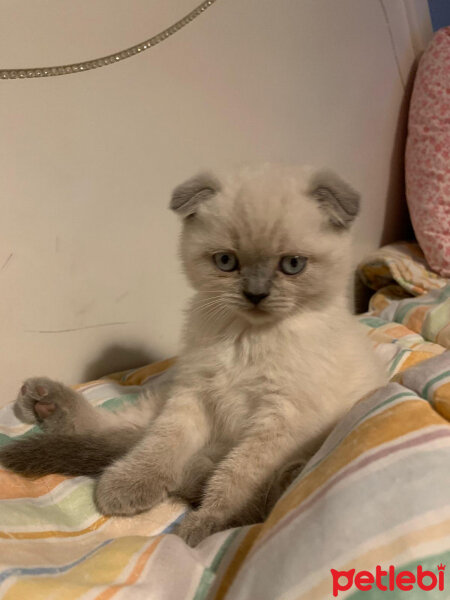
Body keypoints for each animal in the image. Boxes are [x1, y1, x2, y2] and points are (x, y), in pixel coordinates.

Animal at [0, 165, 386, 548]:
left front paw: (208, 524)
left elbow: (237, 476)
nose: (255, 294)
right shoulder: (193, 393)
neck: (245, 337)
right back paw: (44, 403)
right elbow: (160, 445)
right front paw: (127, 484)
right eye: (226, 261)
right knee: (121, 433)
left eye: (292, 265)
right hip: (162, 400)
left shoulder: (280, 418)